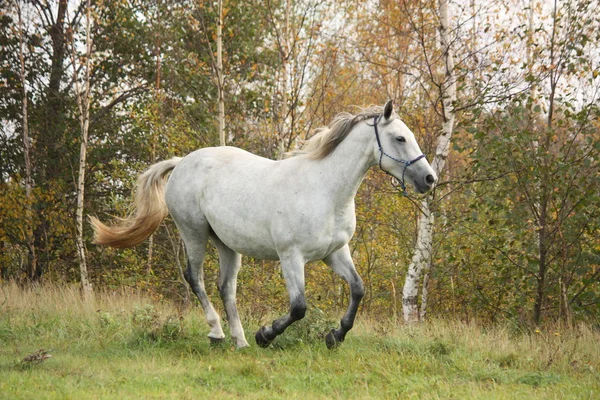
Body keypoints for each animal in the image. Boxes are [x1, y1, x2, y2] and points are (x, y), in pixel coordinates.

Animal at [90, 101, 436, 348]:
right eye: (400, 137)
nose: (429, 179)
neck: (325, 190)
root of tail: (182, 162)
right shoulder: (291, 256)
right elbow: (299, 307)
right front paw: (266, 334)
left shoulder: (335, 252)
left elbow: (358, 289)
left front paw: (334, 336)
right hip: (193, 233)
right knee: (195, 278)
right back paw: (218, 333)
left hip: (226, 244)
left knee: (225, 287)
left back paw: (240, 341)